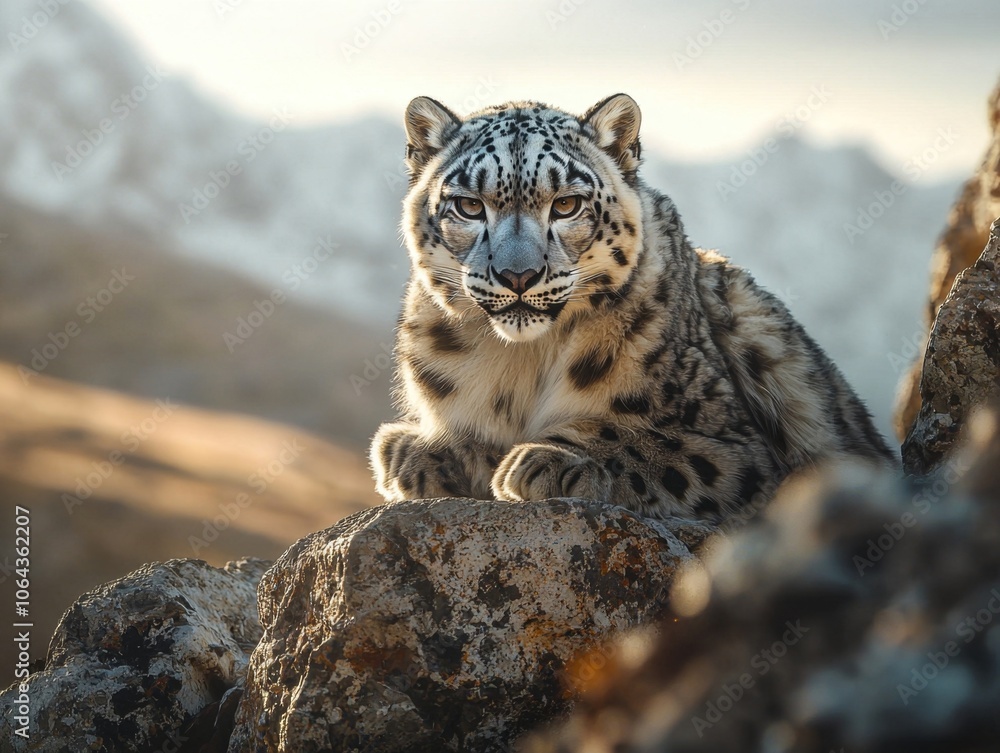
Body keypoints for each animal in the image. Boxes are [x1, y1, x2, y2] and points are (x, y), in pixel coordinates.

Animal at [369, 93, 896, 524]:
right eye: (469, 206)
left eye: (566, 204)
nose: (519, 276)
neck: (523, 360)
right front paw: (415, 450)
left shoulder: (733, 445)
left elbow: (651, 445)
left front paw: (548, 460)